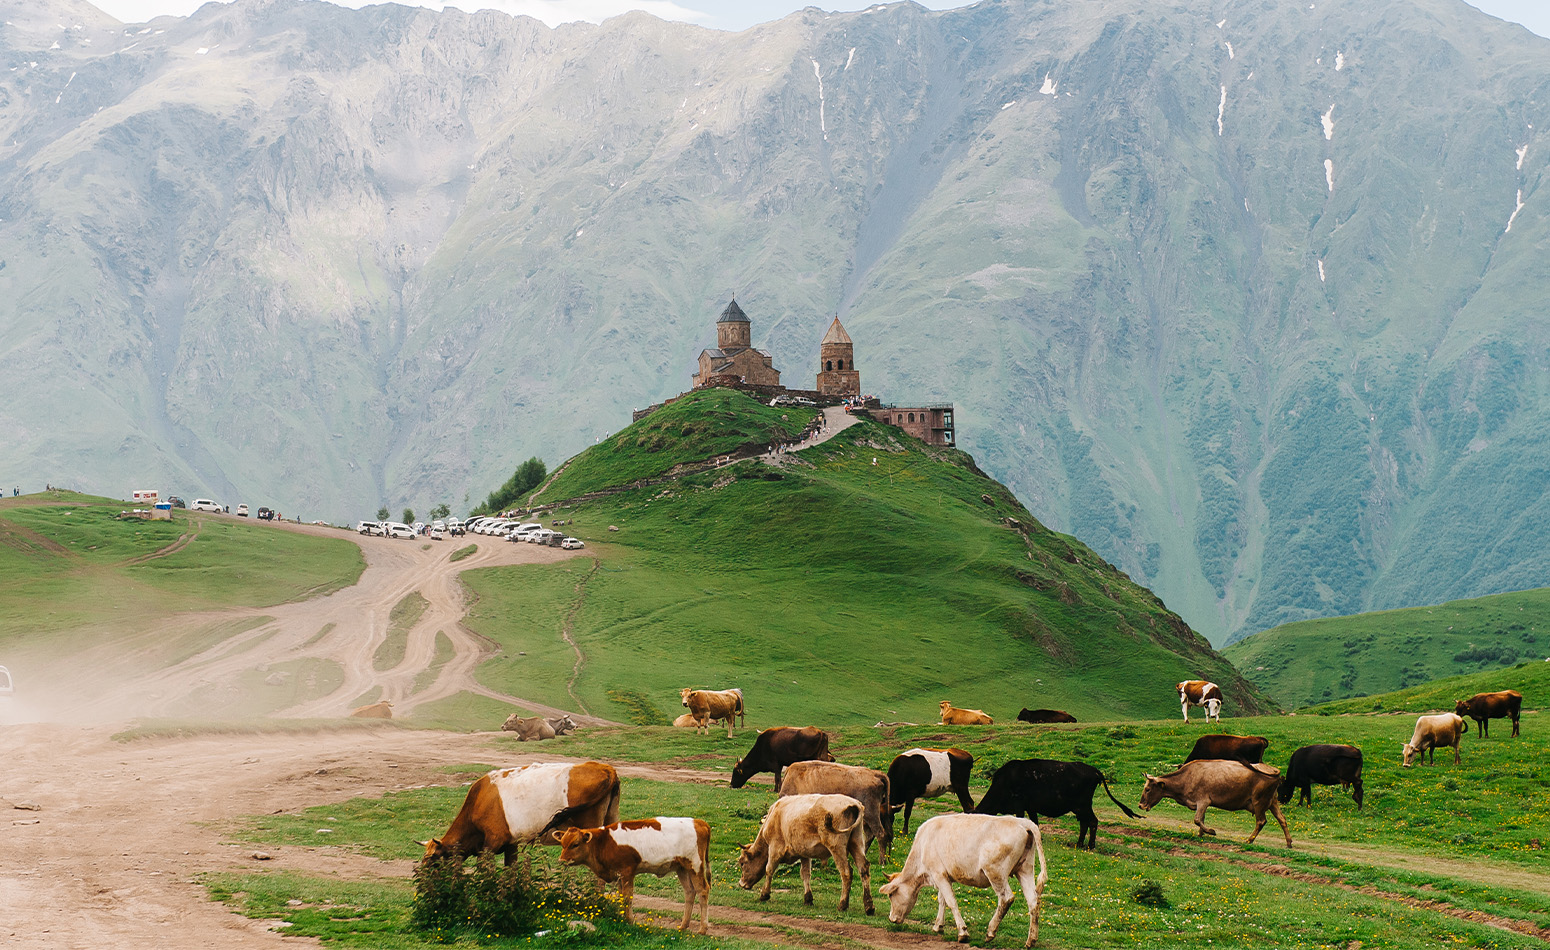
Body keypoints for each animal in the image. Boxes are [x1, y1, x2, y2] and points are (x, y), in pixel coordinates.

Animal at [561, 812, 709, 936]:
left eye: (575, 844)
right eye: (562, 843)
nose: (561, 860)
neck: (604, 841)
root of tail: (698, 822)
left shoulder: (627, 871)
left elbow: (628, 897)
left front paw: (629, 921)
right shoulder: (618, 875)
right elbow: (621, 897)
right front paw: (622, 918)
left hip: (695, 865)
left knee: (702, 890)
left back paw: (702, 929)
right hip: (682, 868)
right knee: (690, 891)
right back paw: (683, 926)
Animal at [734, 790, 874, 917]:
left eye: (742, 863)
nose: (741, 884)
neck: (775, 815)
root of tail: (854, 804)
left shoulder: (775, 848)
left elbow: (769, 869)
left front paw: (764, 894)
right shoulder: (804, 853)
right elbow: (805, 874)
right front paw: (808, 898)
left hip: (837, 847)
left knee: (846, 872)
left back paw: (843, 904)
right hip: (857, 843)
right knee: (863, 869)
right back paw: (869, 906)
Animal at [979, 759, 1140, 849]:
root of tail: (1095, 771)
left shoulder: (1020, 805)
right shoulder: (1031, 808)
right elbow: (1035, 823)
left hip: (1084, 806)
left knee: (1093, 821)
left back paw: (1090, 845)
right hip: (1079, 808)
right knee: (1084, 823)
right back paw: (1079, 844)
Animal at [1134, 756, 1289, 843]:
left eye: (1147, 789)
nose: (1140, 805)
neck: (1187, 777)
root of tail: (1274, 771)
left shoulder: (1203, 801)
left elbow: (1197, 819)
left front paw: (1211, 831)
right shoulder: (1202, 804)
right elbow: (1201, 819)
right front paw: (1200, 834)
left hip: (1258, 802)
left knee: (1261, 821)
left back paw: (1249, 840)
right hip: (1272, 802)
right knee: (1282, 819)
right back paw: (1289, 843)